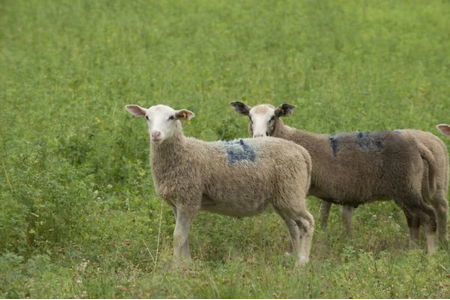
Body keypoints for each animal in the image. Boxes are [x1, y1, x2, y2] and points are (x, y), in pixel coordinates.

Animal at [123, 104, 312, 266]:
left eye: (171, 117)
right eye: (147, 117)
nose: (156, 135)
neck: (183, 153)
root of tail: (301, 151)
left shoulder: (188, 199)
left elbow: (178, 237)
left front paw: (176, 268)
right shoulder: (177, 203)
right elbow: (184, 236)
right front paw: (187, 264)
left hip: (291, 193)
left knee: (307, 223)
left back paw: (302, 262)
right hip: (284, 197)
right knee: (294, 227)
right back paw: (294, 257)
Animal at [230, 101, 448, 253]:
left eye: (273, 116)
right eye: (250, 117)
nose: (258, 137)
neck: (288, 138)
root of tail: (417, 146)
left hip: (407, 189)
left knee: (430, 216)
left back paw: (432, 255)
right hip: (405, 190)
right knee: (415, 219)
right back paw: (414, 251)